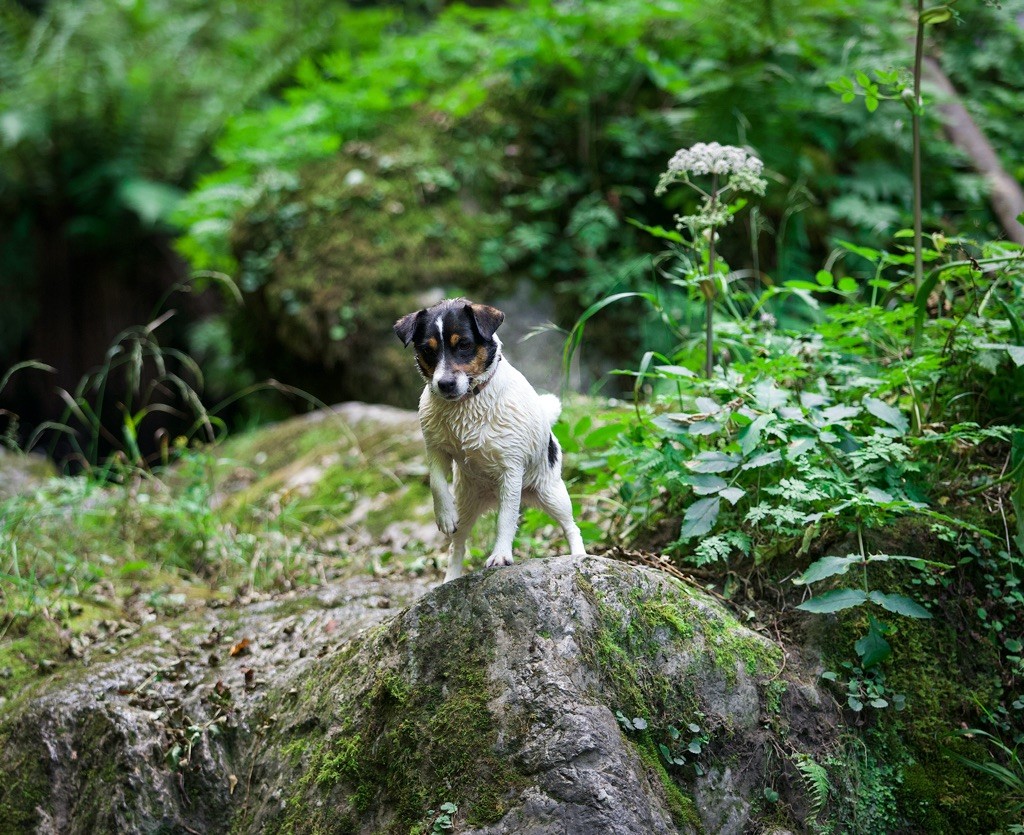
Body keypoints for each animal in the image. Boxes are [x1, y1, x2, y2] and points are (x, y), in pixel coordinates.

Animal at [391, 299, 585, 581]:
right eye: (428, 350)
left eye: (463, 344)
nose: (445, 384)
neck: (465, 405)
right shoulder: (436, 448)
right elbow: (437, 483)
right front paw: (444, 516)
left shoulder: (511, 470)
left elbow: (506, 520)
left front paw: (501, 556)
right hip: (467, 503)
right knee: (458, 545)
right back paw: (450, 578)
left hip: (551, 494)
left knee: (570, 525)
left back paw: (579, 554)